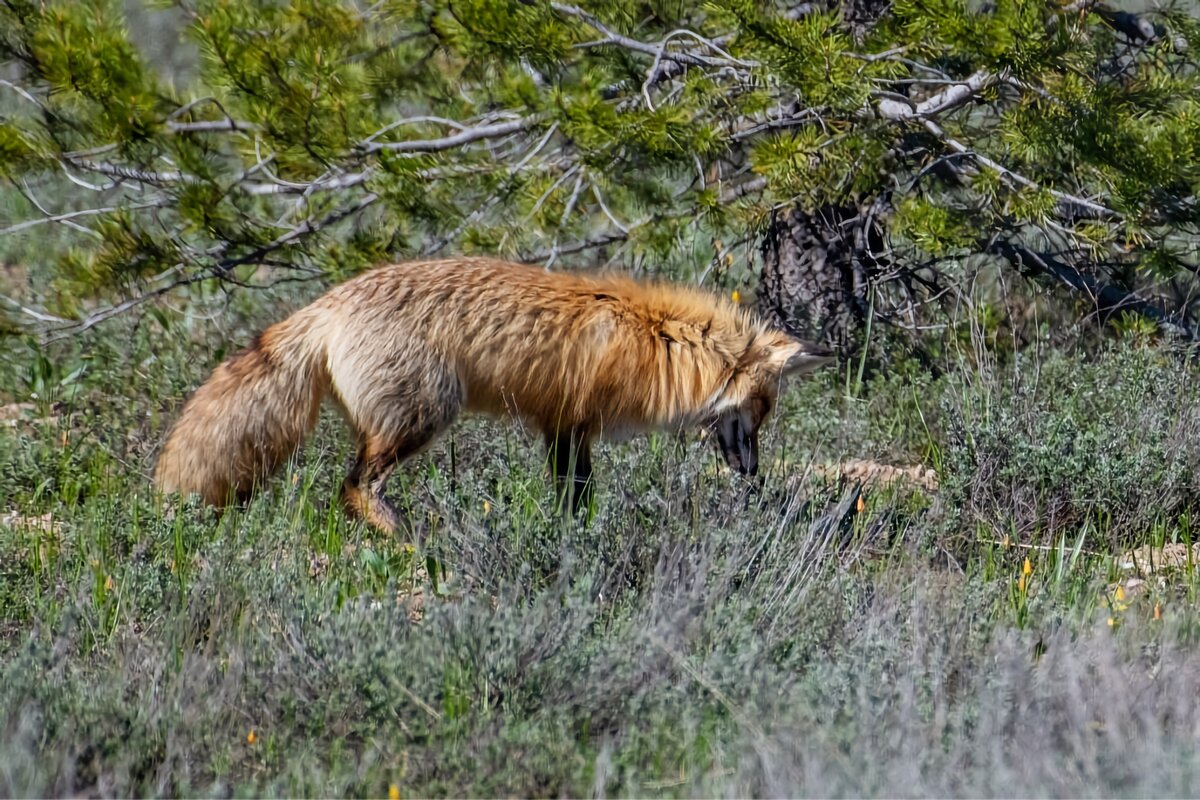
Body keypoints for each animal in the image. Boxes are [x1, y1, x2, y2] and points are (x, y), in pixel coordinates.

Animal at [154, 256, 835, 532]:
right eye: (759, 414)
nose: (753, 474)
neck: (653, 334)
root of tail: (327, 304)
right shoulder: (571, 423)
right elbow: (579, 500)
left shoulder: (562, 428)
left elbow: (572, 499)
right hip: (423, 416)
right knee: (353, 489)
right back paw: (414, 538)